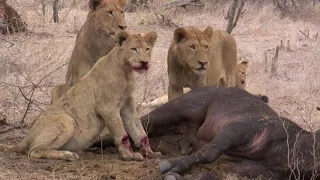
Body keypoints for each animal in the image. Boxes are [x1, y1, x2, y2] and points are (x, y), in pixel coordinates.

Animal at [0, 30, 160, 161]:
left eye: (147, 49)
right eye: (134, 49)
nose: (144, 62)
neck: (126, 72)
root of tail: (26, 137)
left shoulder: (128, 108)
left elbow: (140, 132)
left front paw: (150, 153)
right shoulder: (107, 108)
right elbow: (122, 134)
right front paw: (128, 155)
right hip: (66, 119)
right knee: (33, 151)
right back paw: (67, 155)